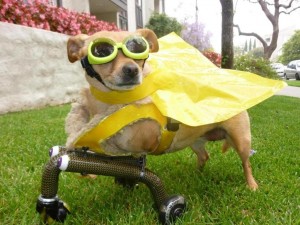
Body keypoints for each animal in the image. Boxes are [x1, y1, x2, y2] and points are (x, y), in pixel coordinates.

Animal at [65, 28, 258, 190]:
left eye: (139, 50)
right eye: (101, 51)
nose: (132, 69)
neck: (111, 101)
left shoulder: (141, 144)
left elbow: (122, 149)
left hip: (241, 140)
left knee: (246, 163)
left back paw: (252, 185)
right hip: (195, 140)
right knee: (204, 156)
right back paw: (196, 175)